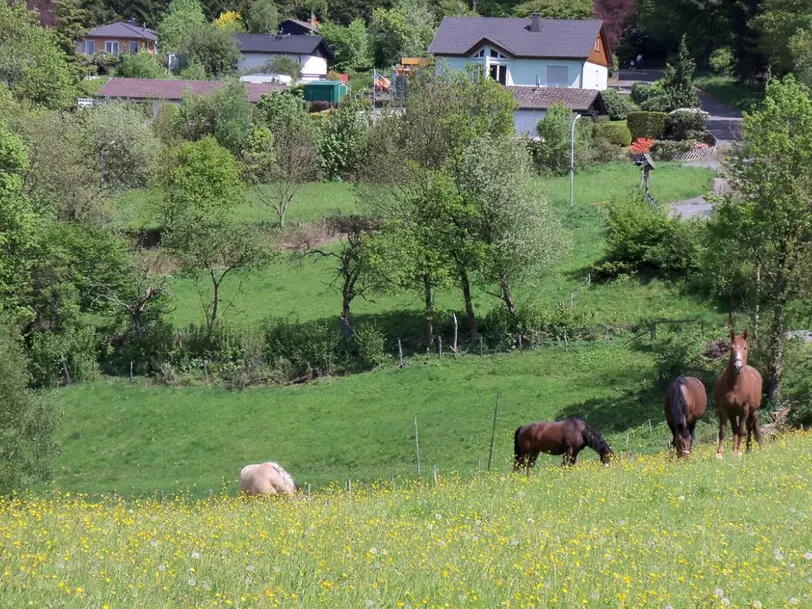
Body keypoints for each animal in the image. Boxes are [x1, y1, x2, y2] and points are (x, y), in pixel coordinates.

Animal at [712, 330, 764, 458]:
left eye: (745, 347)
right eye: (731, 348)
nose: (738, 367)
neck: (735, 386)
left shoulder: (744, 410)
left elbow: (742, 430)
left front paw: (739, 451)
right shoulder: (724, 410)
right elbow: (723, 431)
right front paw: (719, 453)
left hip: (752, 411)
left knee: (749, 427)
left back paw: (748, 448)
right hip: (733, 413)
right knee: (734, 428)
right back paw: (733, 449)